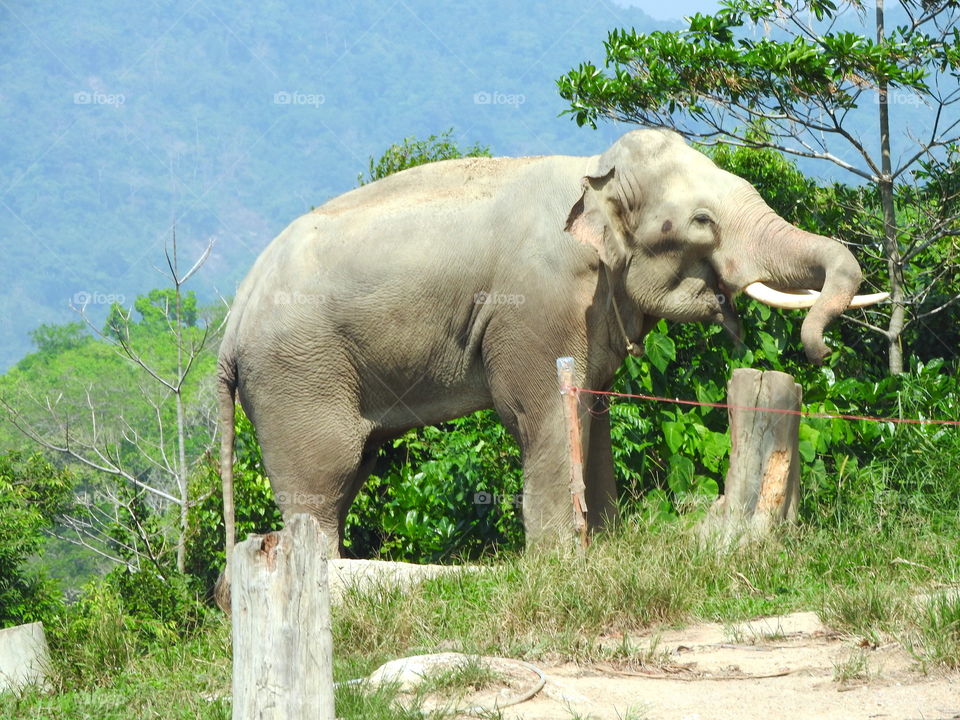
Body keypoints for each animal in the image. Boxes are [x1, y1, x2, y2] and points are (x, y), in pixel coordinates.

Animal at [215, 128, 886, 588]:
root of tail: (231, 321)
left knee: (350, 470)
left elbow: (593, 409)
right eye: (700, 221)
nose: (821, 347)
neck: (593, 174)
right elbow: (537, 414)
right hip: (295, 373)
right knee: (322, 478)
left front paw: (607, 547)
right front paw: (560, 562)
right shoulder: (537, 304)